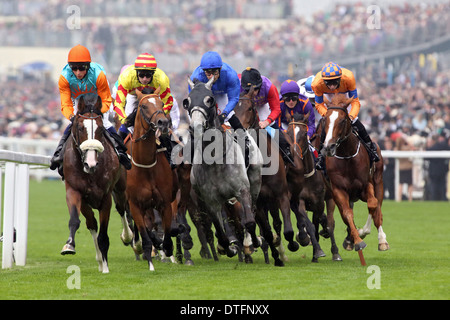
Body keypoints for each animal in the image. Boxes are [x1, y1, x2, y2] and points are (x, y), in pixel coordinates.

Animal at [61, 95, 123, 272]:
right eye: (80, 127)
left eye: (100, 129)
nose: (91, 163)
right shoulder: (75, 192)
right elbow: (76, 221)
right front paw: (69, 245)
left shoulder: (105, 198)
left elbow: (103, 235)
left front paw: (107, 268)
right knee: (92, 223)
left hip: (121, 187)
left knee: (123, 209)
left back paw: (130, 238)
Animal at [125, 87, 179, 270]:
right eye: (143, 106)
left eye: (161, 103)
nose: (163, 122)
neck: (146, 165)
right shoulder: (135, 205)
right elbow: (145, 235)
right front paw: (150, 261)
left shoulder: (165, 203)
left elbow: (168, 233)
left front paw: (167, 250)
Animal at [284, 111, 342, 262]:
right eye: (288, 132)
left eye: (304, 133)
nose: (294, 153)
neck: (306, 176)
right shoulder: (299, 200)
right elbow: (309, 224)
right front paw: (316, 250)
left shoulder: (319, 202)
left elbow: (320, 221)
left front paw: (319, 249)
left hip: (330, 198)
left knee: (330, 222)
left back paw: (335, 252)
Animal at [322, 95, 388, 252]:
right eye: (325, 120)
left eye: (342, 120)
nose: (328, 147)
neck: (347, 157)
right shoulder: (338, 190)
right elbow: (347, 214)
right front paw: (357, 240)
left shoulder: (366, 185)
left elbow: (373, 204)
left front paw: (364, 233)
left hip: (378, 182)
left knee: (378, 207)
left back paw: (381, 239)